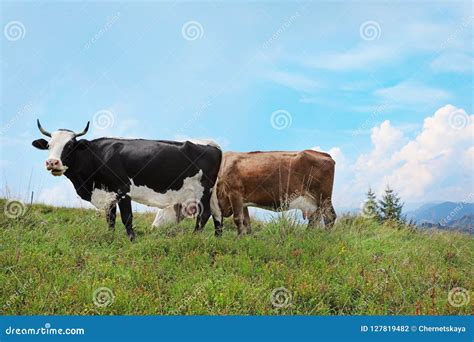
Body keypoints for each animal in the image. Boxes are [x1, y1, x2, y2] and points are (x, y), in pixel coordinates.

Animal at [32, 120, 223, 240]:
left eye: (70, 145)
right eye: (49, 146)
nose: (52, 162)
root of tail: (212, 143)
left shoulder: (122, 190)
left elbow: (126, 218)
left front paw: (132, 240)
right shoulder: (108, 194)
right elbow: (110, 219)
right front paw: (110, 239)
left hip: (203, 190)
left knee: (205, 213)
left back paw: (195, 237)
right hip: (210, 192)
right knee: (216, 212)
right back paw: (217, 238)